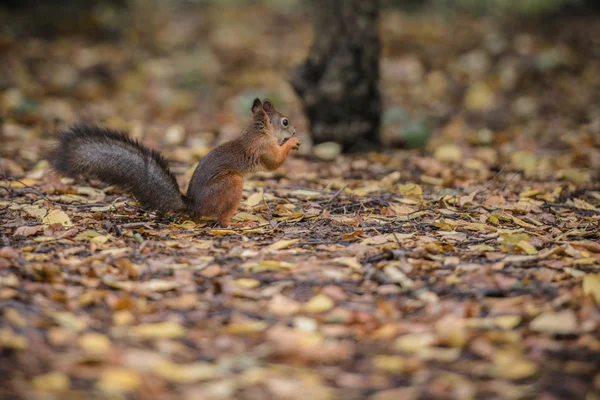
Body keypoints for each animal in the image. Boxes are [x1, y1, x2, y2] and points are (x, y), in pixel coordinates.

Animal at [49, 98, 300, 227]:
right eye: (285, 122)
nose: (295, 131)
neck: (259, 132)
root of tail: (195, 206)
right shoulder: (263, 150)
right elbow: (273, 163)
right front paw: (292, 143)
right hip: (231, 182)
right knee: (220, 217)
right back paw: (234, 222)